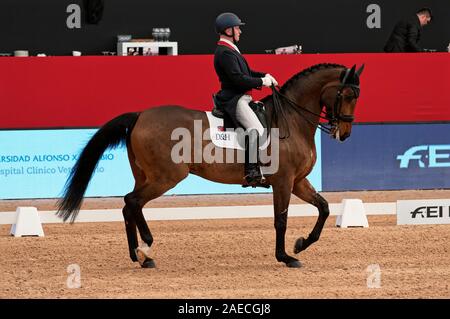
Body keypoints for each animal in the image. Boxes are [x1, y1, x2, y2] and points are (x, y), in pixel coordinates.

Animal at [57, 62, 366, 268]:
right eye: (348, 96)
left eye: (357, 96)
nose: (345, 133)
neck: (291, 119)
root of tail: (140, 115)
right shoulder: (283, 181)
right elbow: (281, 220)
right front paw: (286, 257)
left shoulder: (298, 181)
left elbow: (324, 208)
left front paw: (301, 244)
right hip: (166, 176)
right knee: (132, 201)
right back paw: (146, 248)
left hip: (145, 175)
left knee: (129, 205)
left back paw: (138, 255)